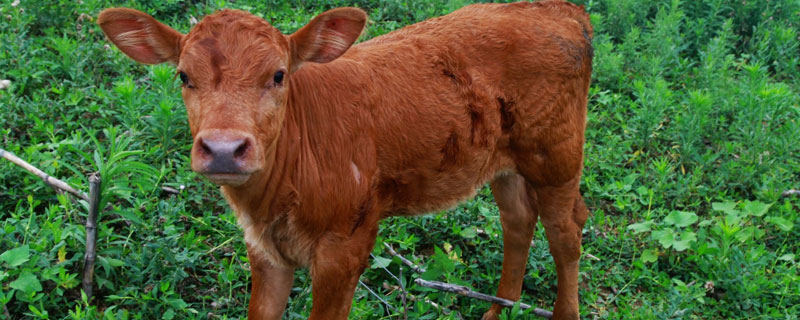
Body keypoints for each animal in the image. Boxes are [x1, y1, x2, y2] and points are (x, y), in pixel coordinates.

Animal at [97, 1, 592, 318]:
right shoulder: (264, 250)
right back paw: (497, 311)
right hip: (504, 160)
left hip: (558, 154)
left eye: (279, 75)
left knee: (567, 232)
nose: (223, 148)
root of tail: (562, 8)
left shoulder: (347, 245)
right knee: (518, 220)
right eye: (183, 76)